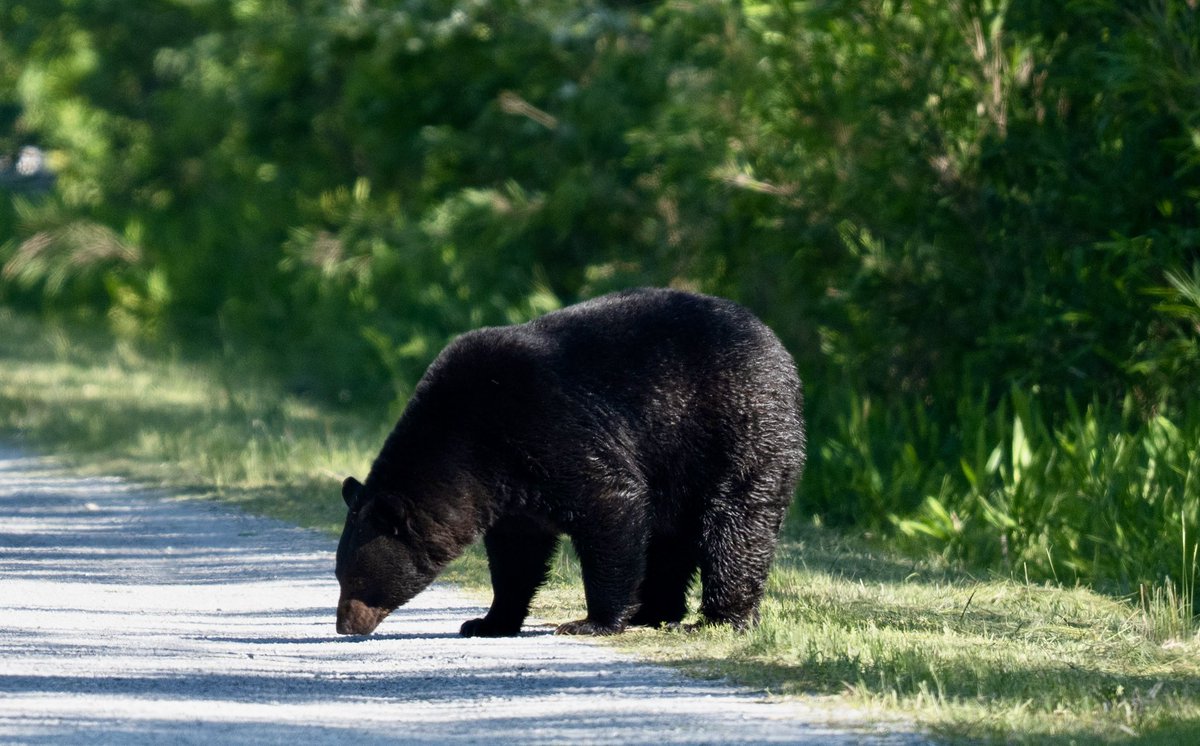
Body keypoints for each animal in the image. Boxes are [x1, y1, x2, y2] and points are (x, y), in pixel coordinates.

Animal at [335, 287, 805, 637]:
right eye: (340, 575)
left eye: (354, 578)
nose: (344, 625)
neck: (469, 442)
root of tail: (779, 348)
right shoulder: (507, 490)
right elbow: (517, 553)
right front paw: (488, 620)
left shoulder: (551, 429)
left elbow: (611, 505)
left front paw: (593, 621)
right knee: (670, 539)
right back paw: (654, 612)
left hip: (736, 435)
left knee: (734, 527)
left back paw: (718, 620)